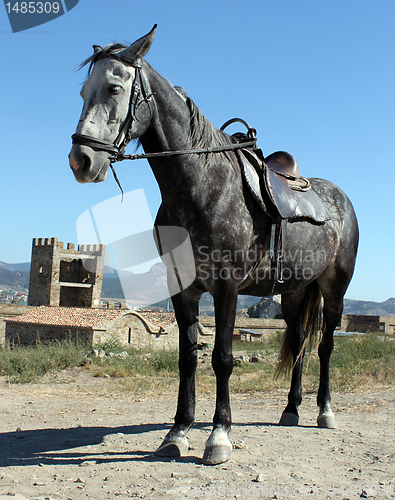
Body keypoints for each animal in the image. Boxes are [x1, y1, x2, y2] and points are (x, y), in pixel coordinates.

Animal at [68, 26, 358, 464]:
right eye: (84, 90)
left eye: (115, 88)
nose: (81, 160)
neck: (201, 186)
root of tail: (341, 200)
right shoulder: (183, 288)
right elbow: (188, 356)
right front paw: (177, 432)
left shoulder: (225, 288)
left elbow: (222, 358)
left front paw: (218, 435)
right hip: (293, 294)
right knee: (299, 343)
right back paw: (291, 409)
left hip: (333, 289)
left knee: (324, 347)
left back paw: (324, 411)